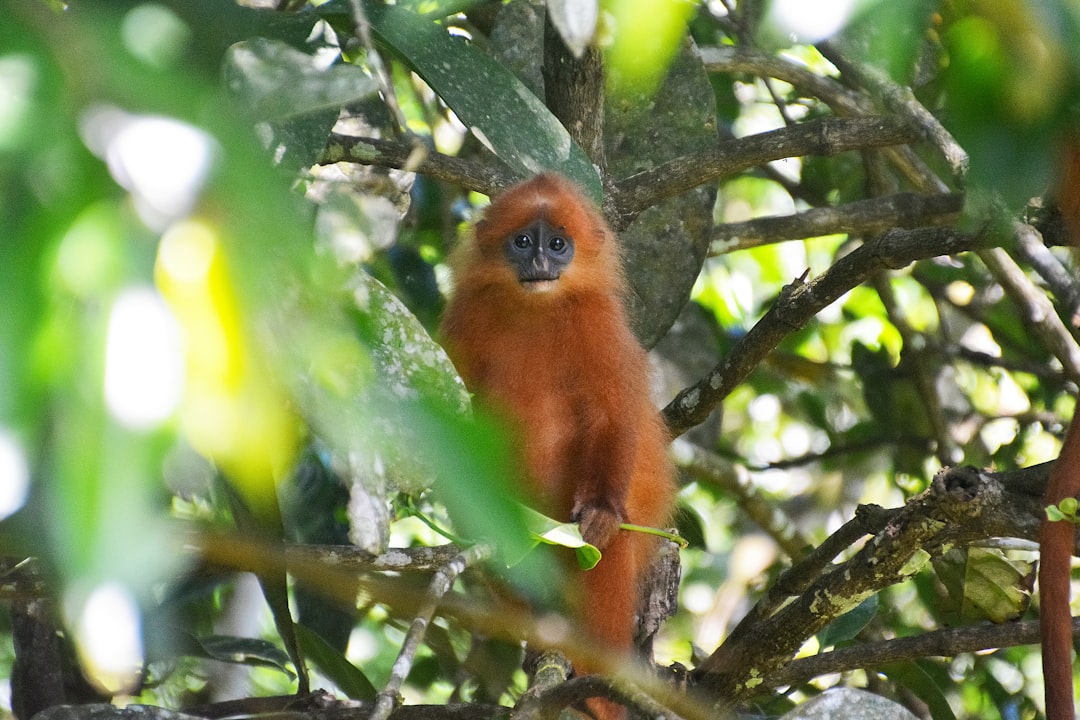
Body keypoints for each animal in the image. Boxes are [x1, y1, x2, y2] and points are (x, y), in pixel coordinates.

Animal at [438, 171, 673, 716]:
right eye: (524, 242)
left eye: (558, 244)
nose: (541, 263)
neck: (537, 308)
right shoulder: (465, 315)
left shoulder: (599, 322)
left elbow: (612, 416)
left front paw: (602, 511)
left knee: (609, 545)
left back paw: (600, 690)